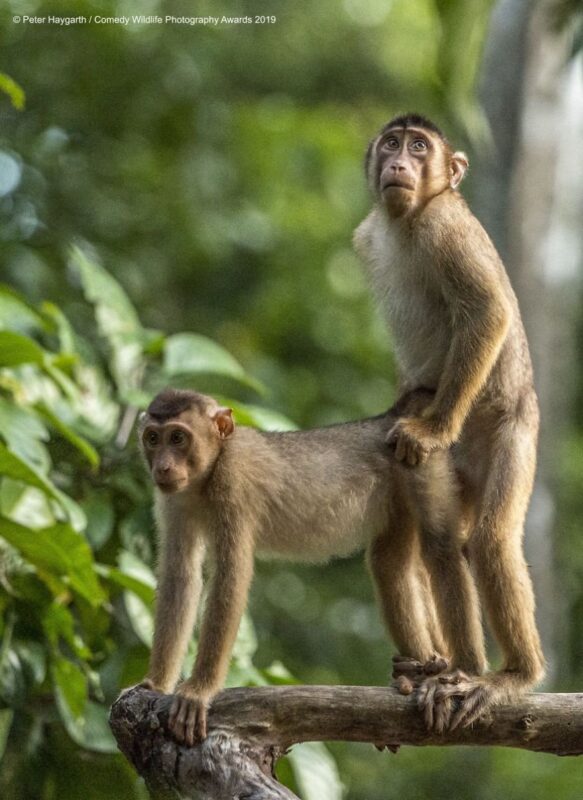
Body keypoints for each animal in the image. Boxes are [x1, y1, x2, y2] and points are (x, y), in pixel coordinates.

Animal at [135, 386, 480, 745]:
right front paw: (156, 683)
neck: (209, 470)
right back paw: (423, 670)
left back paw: (460, 673)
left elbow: (231, 577)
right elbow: (181, 575)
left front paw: (199, 691)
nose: (162, 466)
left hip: (424, 464)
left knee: (441, 550)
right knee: (390, 565)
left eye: (178, 438)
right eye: (153, 439)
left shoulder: (233, 484)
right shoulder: (174, 499)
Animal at [353, 113, 545, 731]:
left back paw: (511, 676)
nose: (400, 164)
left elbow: (487, 311)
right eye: (392, 143)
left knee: (487, 540)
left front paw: (433, 427)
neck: (405, 222)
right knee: (426, 548)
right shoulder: (367, 237)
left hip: (512, 433)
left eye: (420, 147)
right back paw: (431, 667)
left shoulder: (446, 227)